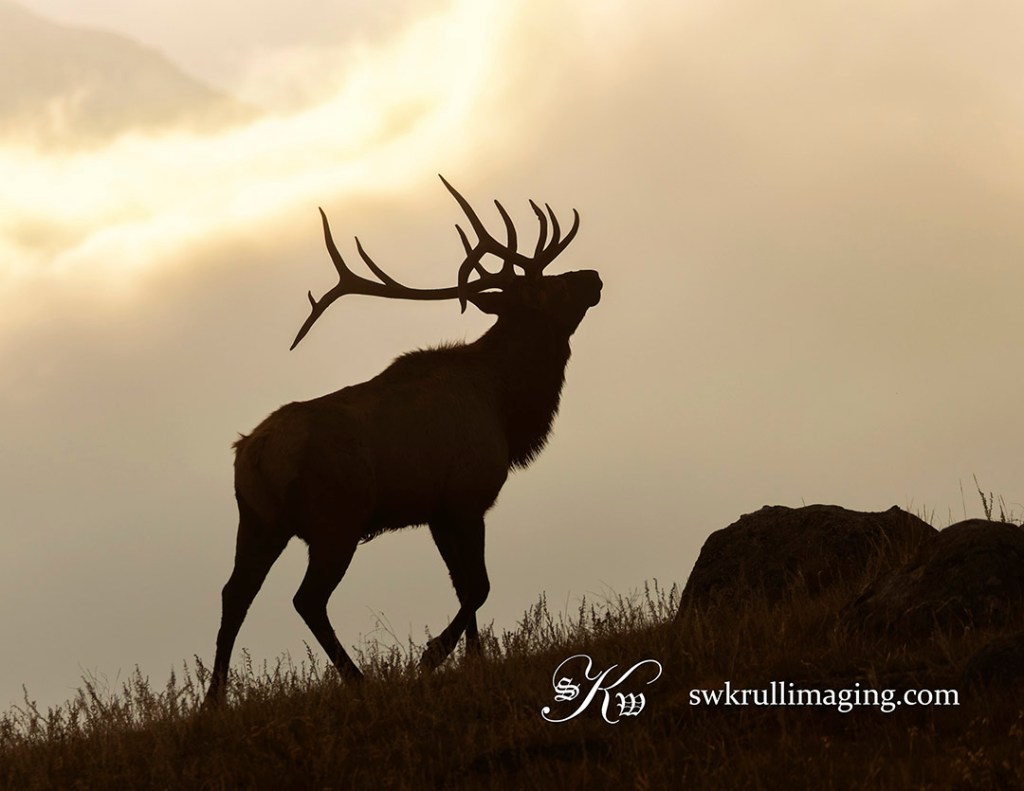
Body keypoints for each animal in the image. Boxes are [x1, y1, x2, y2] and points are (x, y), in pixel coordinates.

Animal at [204, 175, 601, 705]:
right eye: (547, 285)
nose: (593, 277)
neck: (506, 407)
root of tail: (252, 452)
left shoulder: (437, 510)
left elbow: (463, 585)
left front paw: (473, 660)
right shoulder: (465, 497)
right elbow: (479, 586)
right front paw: (431, 656)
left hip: (258, 520)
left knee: (234, 593)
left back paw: (214, 700)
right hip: (336, 520)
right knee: (306, 599)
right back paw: (357, 679)